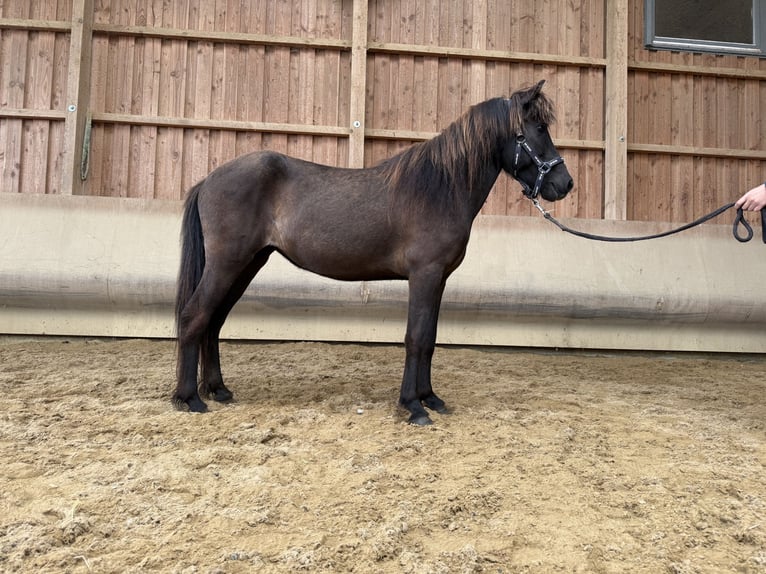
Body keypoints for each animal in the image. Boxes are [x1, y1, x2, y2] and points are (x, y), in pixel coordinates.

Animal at [173, 80, 573, 425]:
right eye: (538, 128)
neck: (440, 188)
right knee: (195, 316)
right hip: (228, 264)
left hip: (247, 264)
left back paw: (218, 390)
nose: (564, 183)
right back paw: (189, 398)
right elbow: (415, 338)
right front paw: (413, 406)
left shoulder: (439, 280)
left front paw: (430, 398)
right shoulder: (424, 275)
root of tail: (208, 180)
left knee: (213, 321)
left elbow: (429, 338)